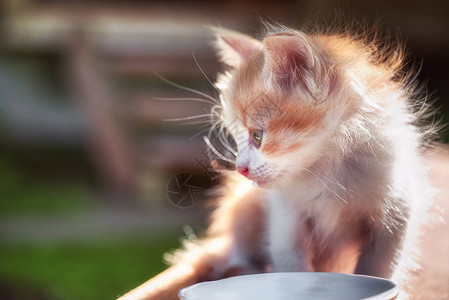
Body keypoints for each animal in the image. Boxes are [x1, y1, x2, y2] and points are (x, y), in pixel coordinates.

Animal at [120, 24, 440, 300]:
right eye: (236, 137)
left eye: (257, 135)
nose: (241, 169)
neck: (327, 172)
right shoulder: (287, 218)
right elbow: (292, 267)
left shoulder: (395, 215)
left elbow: (379, 269)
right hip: (245, 209)